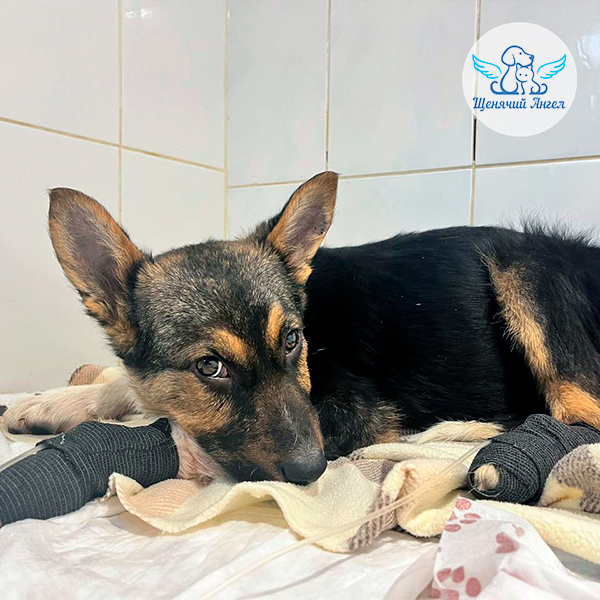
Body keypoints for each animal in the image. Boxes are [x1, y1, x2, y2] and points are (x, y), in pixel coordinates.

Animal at [6, 172, 600, 492]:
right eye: (209, 366)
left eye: (292, 341)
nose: (314, 470)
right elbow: (128, 384)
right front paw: (51, 402)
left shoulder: (354, 412)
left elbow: (176, 431)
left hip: (522, 268)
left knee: (577, 417)